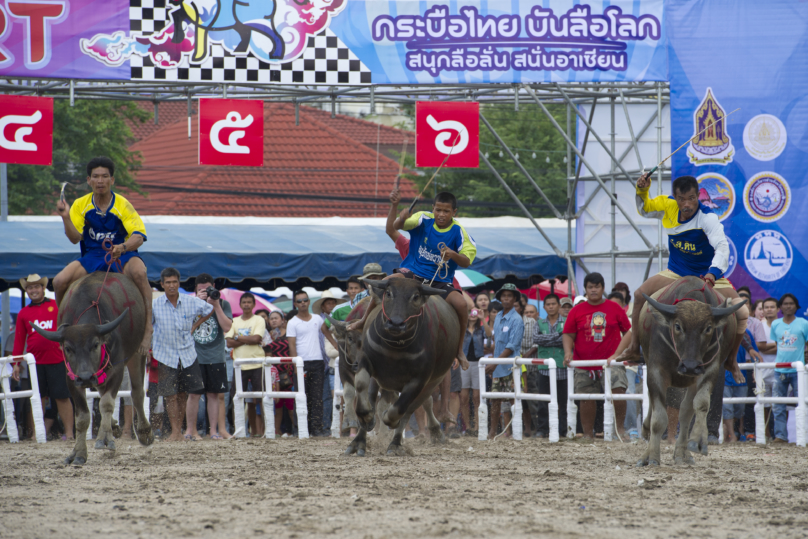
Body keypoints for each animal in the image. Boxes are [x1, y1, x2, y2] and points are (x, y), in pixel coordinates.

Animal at [31, 272, 153, 466]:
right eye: (68, 348)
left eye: (95, 344)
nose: (86, 377)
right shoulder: (71, 378)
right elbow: (82, 417)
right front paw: (78, 453)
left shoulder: (117, 370)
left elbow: (107, 403)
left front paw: (105, 439)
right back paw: (113, 426)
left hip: (137, 353)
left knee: (136, 393)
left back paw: (143, 432)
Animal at [348, 280, 460, 458]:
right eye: (388, 293)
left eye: (416, 296)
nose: (395, 323)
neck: (395, 346)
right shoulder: (366, 360)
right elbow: (361, 388)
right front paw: (367, 418)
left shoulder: (420, 380)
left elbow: (399, 409)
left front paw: (389, 420)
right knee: (371, 396)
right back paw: (358, 442)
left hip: (432, 383)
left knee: (411, 409)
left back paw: (396, 443)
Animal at [636, 276, 744, 466]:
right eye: (677, 326)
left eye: (708, 328)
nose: (690, 366)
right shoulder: (656, 371)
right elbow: (659, 418)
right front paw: (652, 457)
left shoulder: (708, 370)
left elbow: (700, 404)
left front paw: (697, 442)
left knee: (686, 412)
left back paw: (682, 453)